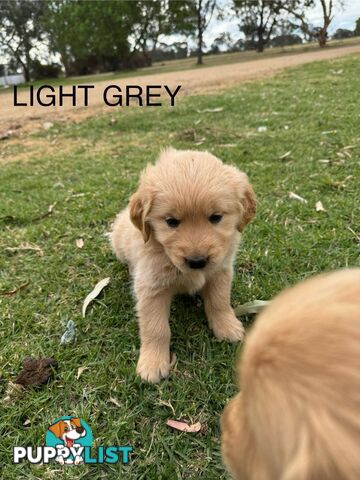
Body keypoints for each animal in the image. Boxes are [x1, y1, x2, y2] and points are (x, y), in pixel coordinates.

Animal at [111, 149, 255, 382]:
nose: (197, 261)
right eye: (171, 221)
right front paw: (153, 363)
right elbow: (156, 328)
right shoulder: (151, 287)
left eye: (216, 217)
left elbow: (219, 302)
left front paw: (227, 326)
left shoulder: (221, 271)